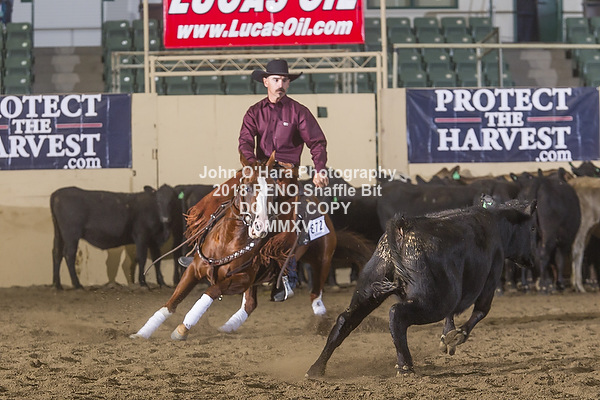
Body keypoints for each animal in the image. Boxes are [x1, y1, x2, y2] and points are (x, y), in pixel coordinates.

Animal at [130, 153, 337, 340]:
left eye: (272, 189)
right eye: (246, 186)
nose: (260, 226)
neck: (227, 241)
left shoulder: (242, 279)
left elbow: (211, 291)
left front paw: (182, 329)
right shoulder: (193, 270)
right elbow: (172, 302)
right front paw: (143, 332)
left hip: (323, 260)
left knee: (316, 296)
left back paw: (321, 325)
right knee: (250, 304)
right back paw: (227, 328)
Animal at [306, 198, 537, 377]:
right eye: (533, 228)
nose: (531, 260)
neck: (496, 225)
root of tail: (403, 226)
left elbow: (453, 315)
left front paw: (447, 337)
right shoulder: (492, 273)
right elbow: (481, 310)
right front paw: (457, 336)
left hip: (369, 289)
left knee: (345, 319)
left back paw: (316, 369)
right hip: (433, 301)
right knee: (396, 314)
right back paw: (405, 366)